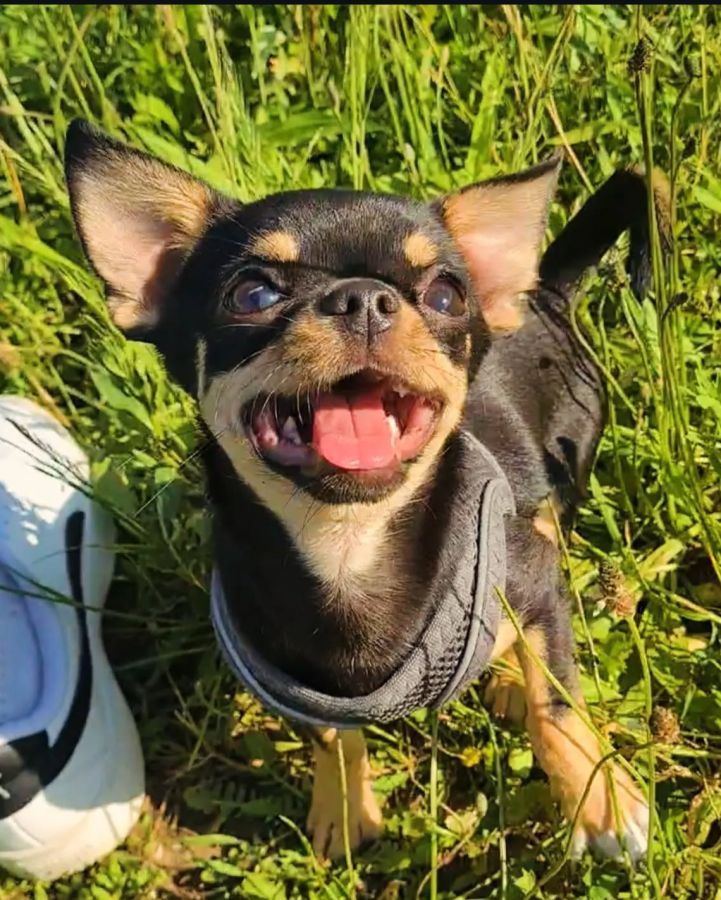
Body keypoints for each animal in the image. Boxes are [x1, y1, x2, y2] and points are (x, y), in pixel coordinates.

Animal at [64, 118, 666, 863]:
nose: (364, 299)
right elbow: (331, 736)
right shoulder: (294, 684)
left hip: (559, 480)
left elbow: (557, 700)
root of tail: (543, 293)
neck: (349, 544)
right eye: (252, 294)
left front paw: (598, 797)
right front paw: (344, 806)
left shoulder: (536, 582)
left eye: (445, 295)